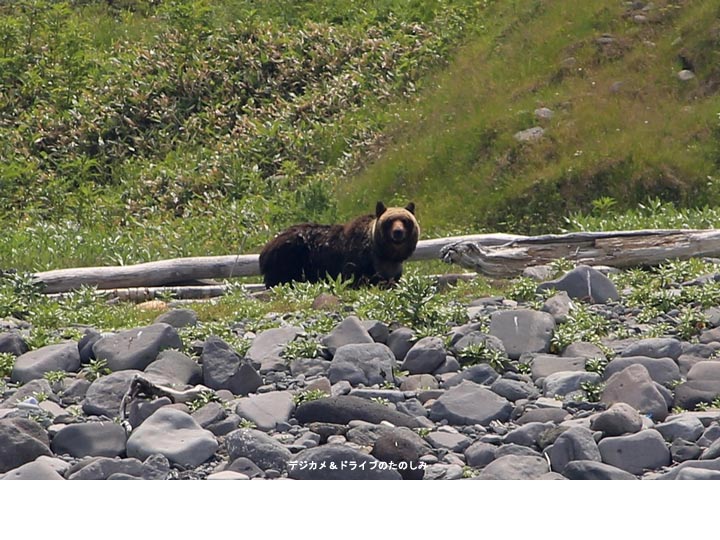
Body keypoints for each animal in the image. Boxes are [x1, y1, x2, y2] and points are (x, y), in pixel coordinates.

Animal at [258, 201, 420, 286]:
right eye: (390, 221)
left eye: (405, 221)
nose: (398, 232)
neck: (383, 254)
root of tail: (266, 248)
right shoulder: (357, 259)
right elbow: (353, 276)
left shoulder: (391, 268)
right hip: (289, 258)